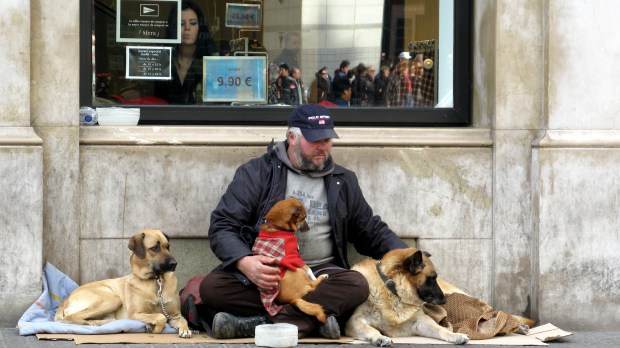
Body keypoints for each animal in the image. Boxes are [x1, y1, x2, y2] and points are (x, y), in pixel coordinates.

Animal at [54, 228, 193, 338]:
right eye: (155, 248)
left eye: (167, 246)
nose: (174, 264)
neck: (156, 281)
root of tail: (66, 300)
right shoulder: (134, 314)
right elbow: (160, 317)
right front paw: (154, 328)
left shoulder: (175, 315)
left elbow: (183, 320)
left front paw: (185, 330)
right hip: (111, 298)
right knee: (71, 317)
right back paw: (97, 324)